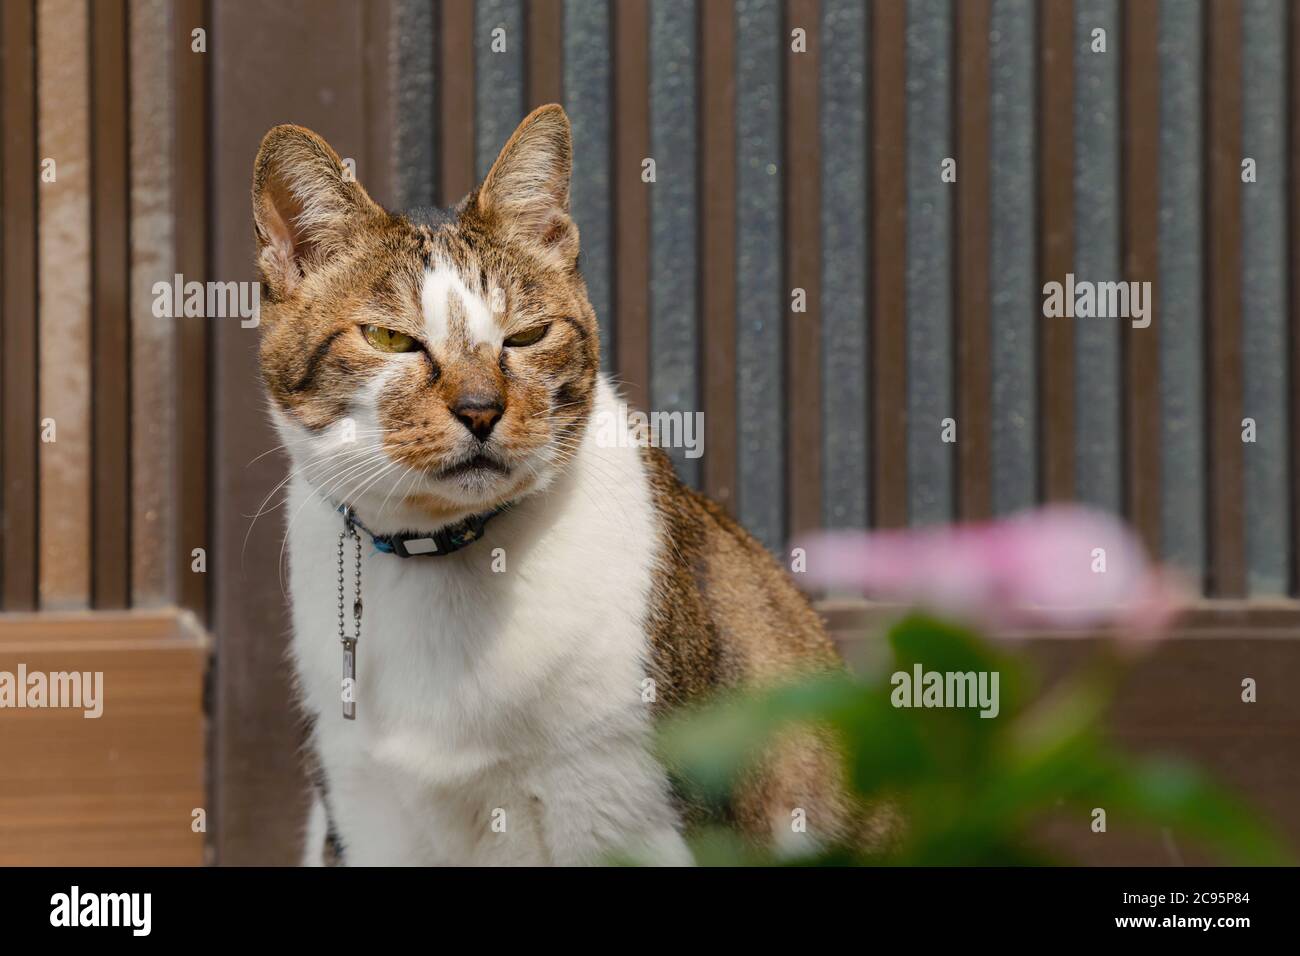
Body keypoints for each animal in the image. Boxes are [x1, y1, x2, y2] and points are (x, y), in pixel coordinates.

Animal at [250, 104, 852, 868]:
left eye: (528, 336)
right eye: (389, 339)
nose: (481, 408)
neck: (445, 556)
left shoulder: (628, 807)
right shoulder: (365, 810)